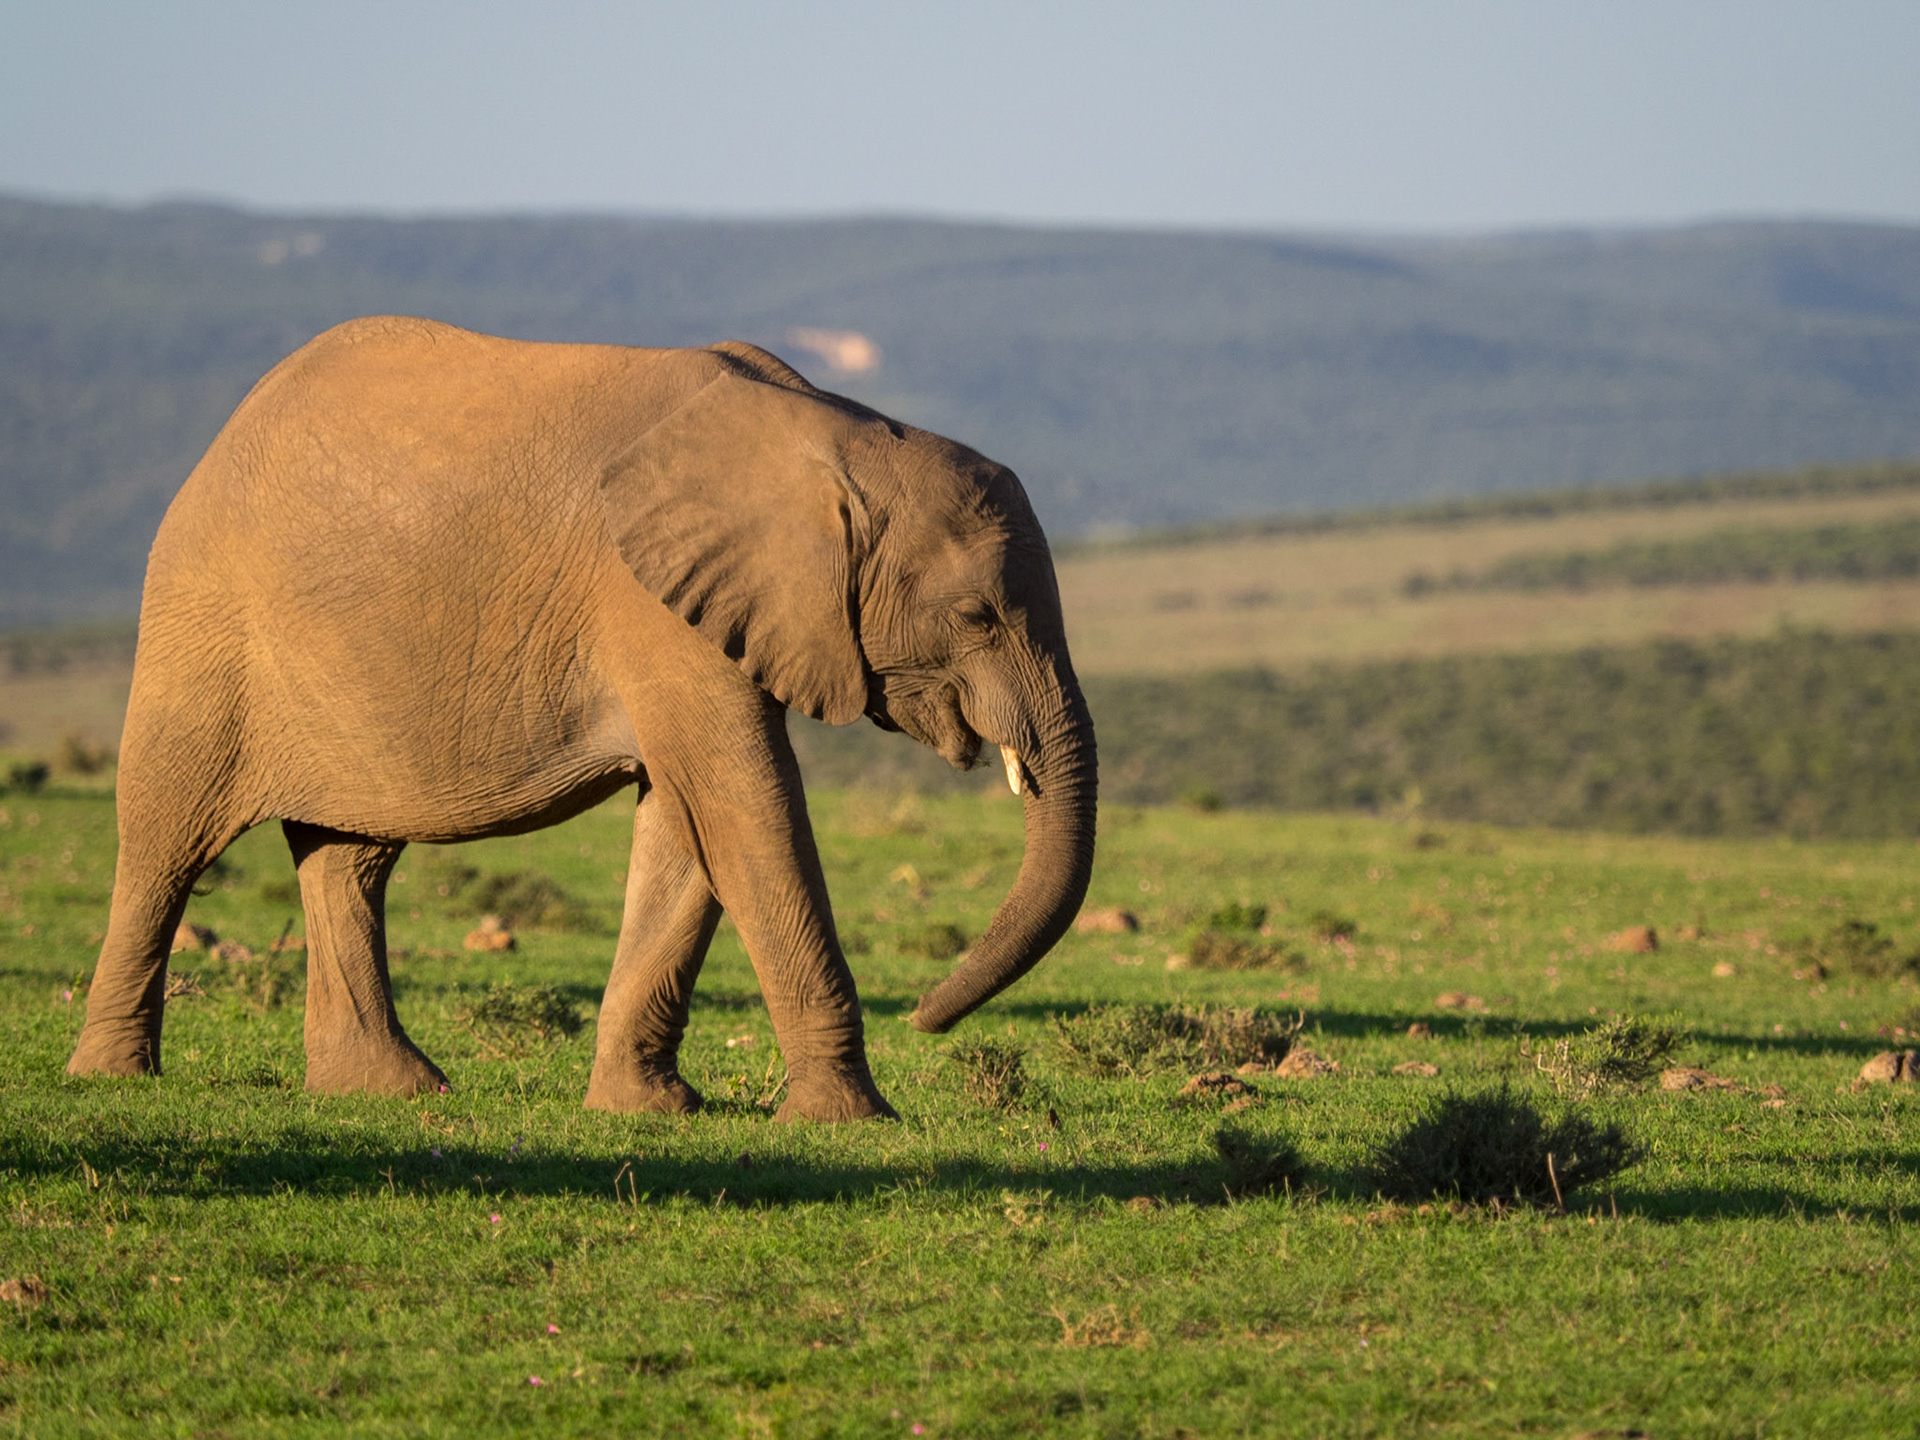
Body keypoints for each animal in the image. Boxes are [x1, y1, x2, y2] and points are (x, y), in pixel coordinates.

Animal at [65, 316, 1097, 1121]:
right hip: (202, 625)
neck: (835, 432)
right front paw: (851, 1118)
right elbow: (746, 808)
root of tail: (226, 432)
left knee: (349, 858)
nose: (925, 1015)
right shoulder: (649, 602)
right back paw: (113, 1077)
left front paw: (646, 1111)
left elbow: (688, 827)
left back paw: (385, 1091)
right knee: (164, 842)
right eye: (978, 616)